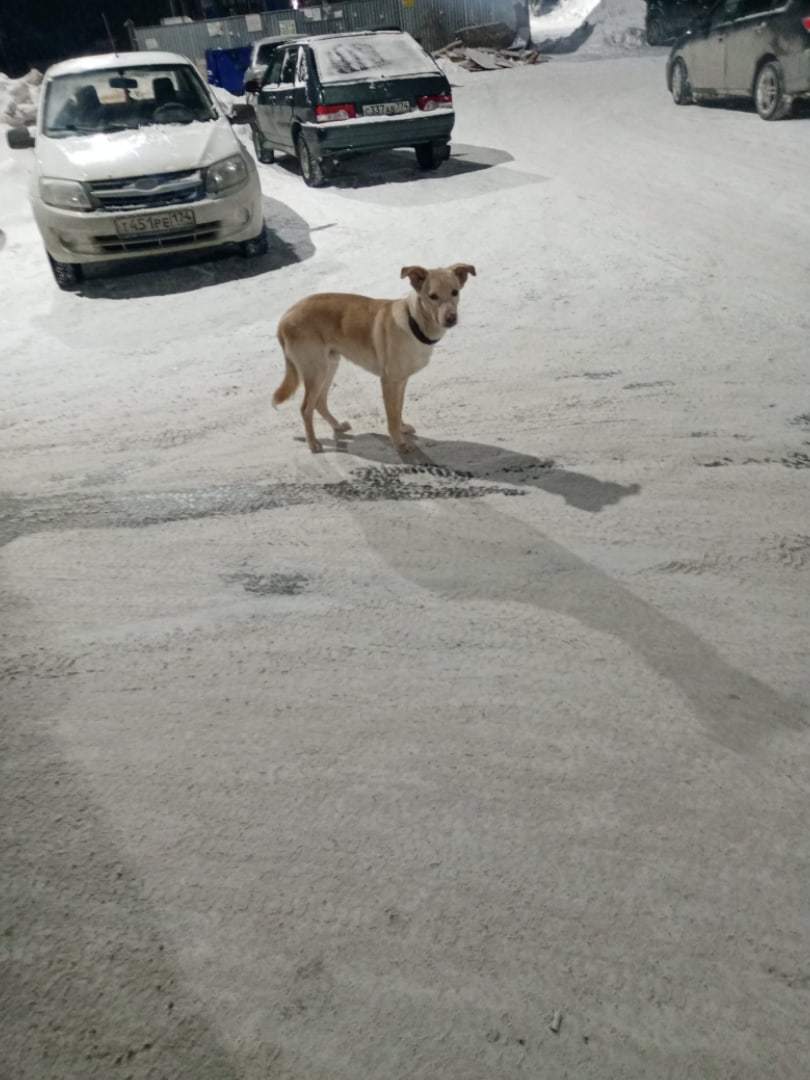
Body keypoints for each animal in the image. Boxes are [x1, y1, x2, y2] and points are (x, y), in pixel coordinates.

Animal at [274, 265, 475, 451]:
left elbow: (398, 408)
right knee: (305, 408)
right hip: (317, 371)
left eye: (455, 292)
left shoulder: (401, 381)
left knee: (319, 402)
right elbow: (391, 416)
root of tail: (284, 317)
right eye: (432, 296)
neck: (414, 322)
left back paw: (337, 426)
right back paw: (313, 444)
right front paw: (399, 442)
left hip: (329, 366)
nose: (451, 318)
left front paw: (402, 429)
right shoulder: (388, 381)